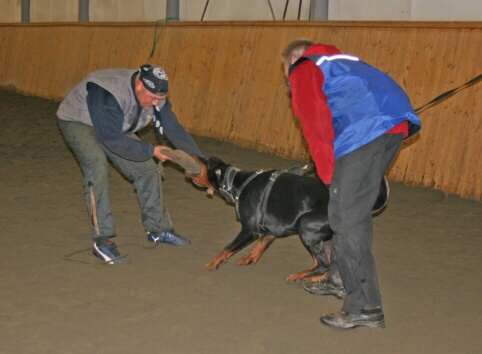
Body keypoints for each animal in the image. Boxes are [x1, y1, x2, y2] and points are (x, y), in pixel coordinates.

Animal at [185, 156, 388, 284]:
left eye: (204, 160)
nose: (192, 154)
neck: (237, 182)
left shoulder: (249, 229)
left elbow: (226, 248)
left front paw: (213, 264)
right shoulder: (270, 231)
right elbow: (258, 248)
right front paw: (248, 260)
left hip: (307, 227)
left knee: (322, 263)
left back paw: (297, 276)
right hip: (326, 238)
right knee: (329, 264)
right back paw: (312, 279)